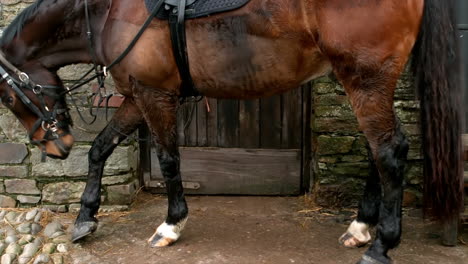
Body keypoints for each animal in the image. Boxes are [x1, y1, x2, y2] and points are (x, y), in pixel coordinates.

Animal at [0, 0, 462, 262]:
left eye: (6, 96)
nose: (55, 147)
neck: (107, 12)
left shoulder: (155, 96)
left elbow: (169, 160)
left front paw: (172, 224)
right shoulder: (136, 94)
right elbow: (100, 148)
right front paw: (85, 218)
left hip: (366, 79)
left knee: (390, 153)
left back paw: (382, 245)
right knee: (376, 151)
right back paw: (361, 227)